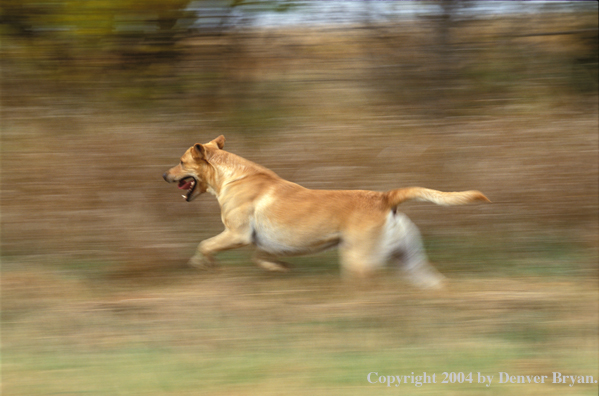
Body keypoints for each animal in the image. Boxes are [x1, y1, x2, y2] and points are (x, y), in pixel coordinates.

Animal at [163, 136, 488, 288]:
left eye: (180, 161)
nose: (163, 175)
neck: (232, 175)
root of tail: (385, 198)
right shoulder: (261, 242)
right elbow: (261, 257)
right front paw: (278, 269)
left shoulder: (237, 234)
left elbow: (205, 245)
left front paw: (202, 264)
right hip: (410, 261)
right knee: (435, 283)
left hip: (359, 261)